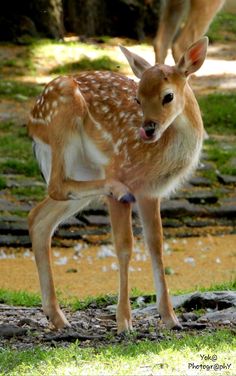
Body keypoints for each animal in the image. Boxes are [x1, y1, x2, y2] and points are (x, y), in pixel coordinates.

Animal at [28, 36, 208, 332]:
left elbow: (156, 245)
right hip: (63, 123)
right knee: (56, 185)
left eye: (168, 96)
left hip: (82, 172)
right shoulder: (124, 170)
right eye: (137, 98)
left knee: (38, 218)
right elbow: (124, 247)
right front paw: (124, 321)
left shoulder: (151, 192)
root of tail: (31, 119)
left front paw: (170, 318)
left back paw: (58, 317)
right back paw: (118, 188)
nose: (148, 128)